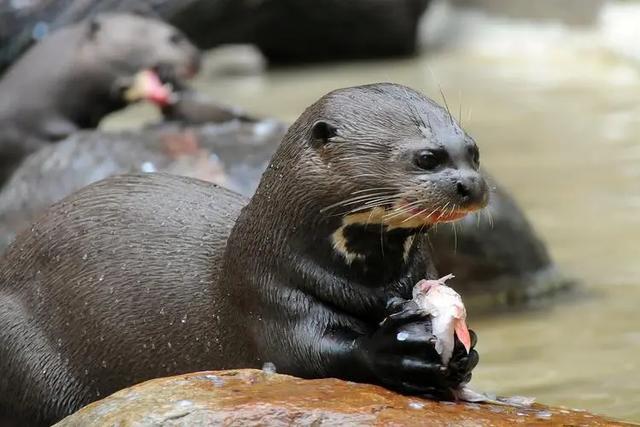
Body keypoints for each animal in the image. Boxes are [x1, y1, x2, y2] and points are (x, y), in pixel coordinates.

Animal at [0, 83, 484, 424]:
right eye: (427, 158)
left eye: (473, 152)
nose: (472, 184)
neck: (369, 284)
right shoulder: (266, 291)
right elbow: (310, 353)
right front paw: (397, 350)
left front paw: (465, 350)